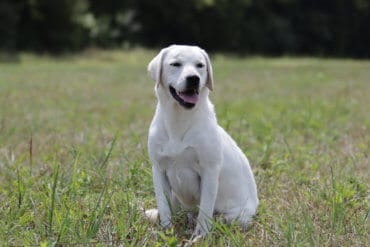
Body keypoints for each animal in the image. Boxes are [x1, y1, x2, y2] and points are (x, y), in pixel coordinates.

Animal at [146, 44, 258, 237]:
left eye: (200, 65)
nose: (193, 78)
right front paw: (166, 230)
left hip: (236, 216)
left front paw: (201, 236)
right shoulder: (158, 169)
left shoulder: (209, 170)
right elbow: (164, 206)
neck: (179, 120)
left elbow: (205, 209)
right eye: (175, 64)